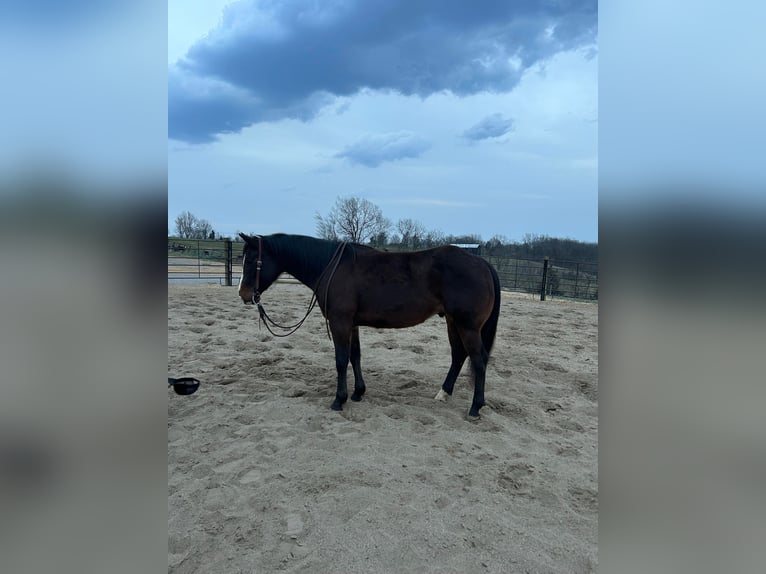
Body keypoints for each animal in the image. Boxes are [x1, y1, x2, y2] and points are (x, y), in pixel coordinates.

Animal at [240, 233, 504, 418]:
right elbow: (355, 356)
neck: (333, 266)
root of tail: (482, 264)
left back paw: (475, 408)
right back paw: (444, 393)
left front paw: (339, 400)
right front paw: (358, 392)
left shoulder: (340, 322)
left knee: (478, 360)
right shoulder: (351, 324)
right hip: (452, 322)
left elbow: (341, 360)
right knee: (459, 356)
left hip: (467, 326)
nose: (244, 294)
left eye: (252, 260)